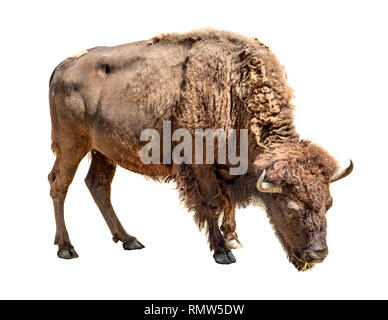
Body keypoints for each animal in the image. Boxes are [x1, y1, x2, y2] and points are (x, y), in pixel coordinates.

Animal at [47, 29, 352, 270]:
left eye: (329, 205)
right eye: (288, 209)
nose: (318, 254)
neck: (234, 88)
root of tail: (61, 66)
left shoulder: (228, 167)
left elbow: (229, 202)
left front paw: (233, 239)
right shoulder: (200, 164)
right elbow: (213, 203)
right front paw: (222, 251)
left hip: (104, 152)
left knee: (98, 185)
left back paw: (129, 240)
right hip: (72, 145)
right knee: (59, 183)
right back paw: (66, 248)